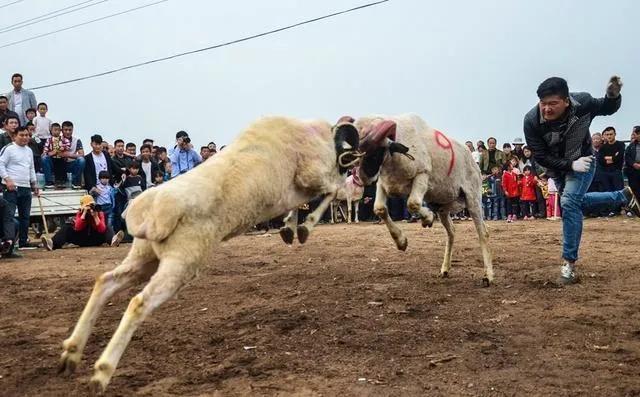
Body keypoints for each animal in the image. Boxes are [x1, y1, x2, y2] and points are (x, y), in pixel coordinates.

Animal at [56, 114, 360, 392]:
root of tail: (150, 213)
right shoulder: (312, 175)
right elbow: (331, 191)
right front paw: (304, 227)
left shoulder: (295, 191)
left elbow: (304, 203)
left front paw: (289, 227)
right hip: (183, 262)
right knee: (138, 303)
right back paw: (101, 373)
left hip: (145, 256)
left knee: (106, 282)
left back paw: (71, 355)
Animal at [348, 113, 492, 284]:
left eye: (377, 150)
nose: (362, 178)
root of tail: (473, 163)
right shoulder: (384, 183)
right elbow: (380, 209)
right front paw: (401, 242)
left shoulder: (422, 175)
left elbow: (413, 203)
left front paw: (427, 218)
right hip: (442, 206)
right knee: (451, 231)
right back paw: (445, 269)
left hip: (473, 198)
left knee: (483, 233)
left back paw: (488, 276)